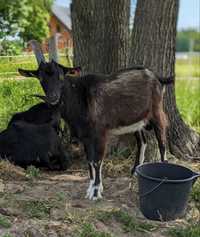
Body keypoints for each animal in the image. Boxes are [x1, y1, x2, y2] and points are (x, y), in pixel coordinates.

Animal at [18, 39, 173, 199]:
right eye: (41, 78)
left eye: (61, 76)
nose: (53, 97)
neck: (80, 97)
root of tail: (157, 76)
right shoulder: (86, 135)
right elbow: (90, 161)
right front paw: (91, 188)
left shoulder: (100, 133)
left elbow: (97, 160)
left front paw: (96, 191)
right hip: (136, 121)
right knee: (142, 141)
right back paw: (135, 171)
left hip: (157, 112)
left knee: (162, 142)